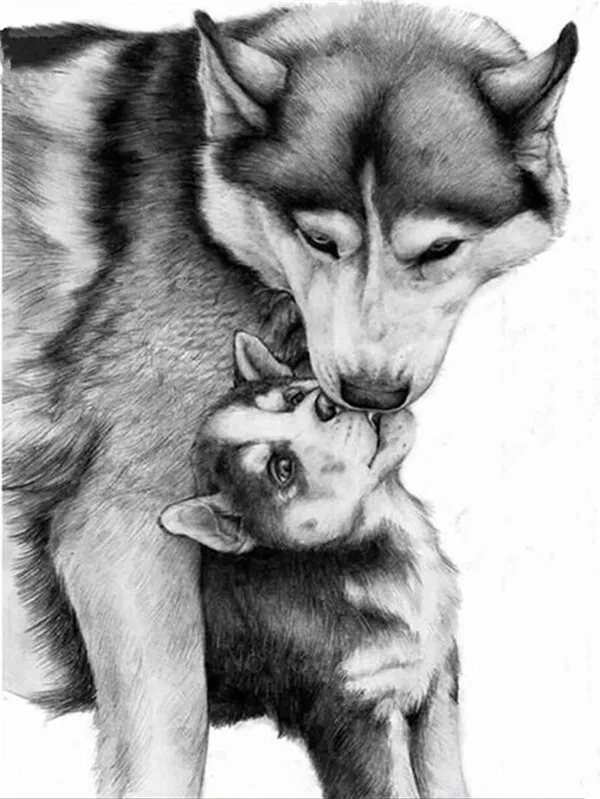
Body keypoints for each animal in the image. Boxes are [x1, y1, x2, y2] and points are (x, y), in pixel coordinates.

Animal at [160, 331, 464, 799]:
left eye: (293, 397)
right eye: (282, 469)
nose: (327, 405)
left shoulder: (436, 687)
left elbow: (445, 777)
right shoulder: (354, 715)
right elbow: (393, 786)